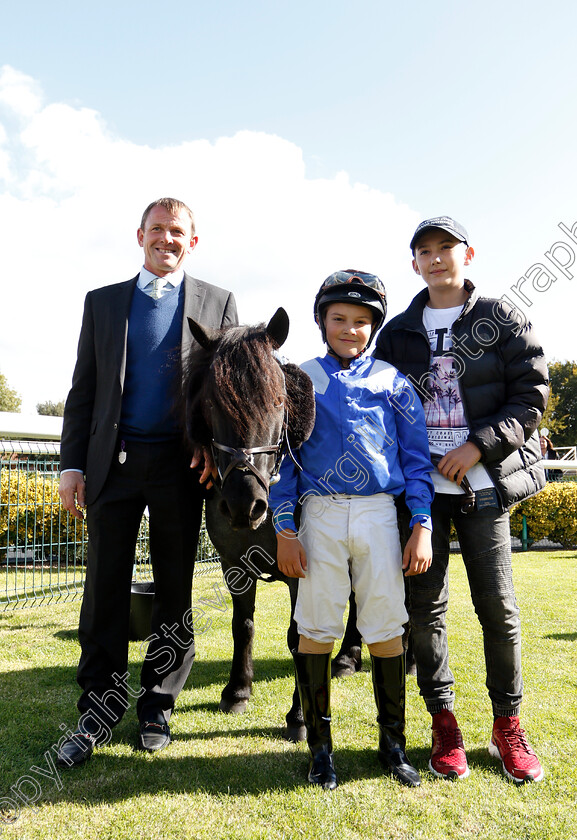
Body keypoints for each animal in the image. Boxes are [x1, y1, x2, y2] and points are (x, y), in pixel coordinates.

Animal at [182, 306, 360, 740]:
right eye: (211, 403)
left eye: (279, 400)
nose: (245, 505)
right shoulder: (234, 566)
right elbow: (242, 625)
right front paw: (237, 691)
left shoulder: (303, 574)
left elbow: (299, 638)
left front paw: (300, 716)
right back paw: (347, 657)